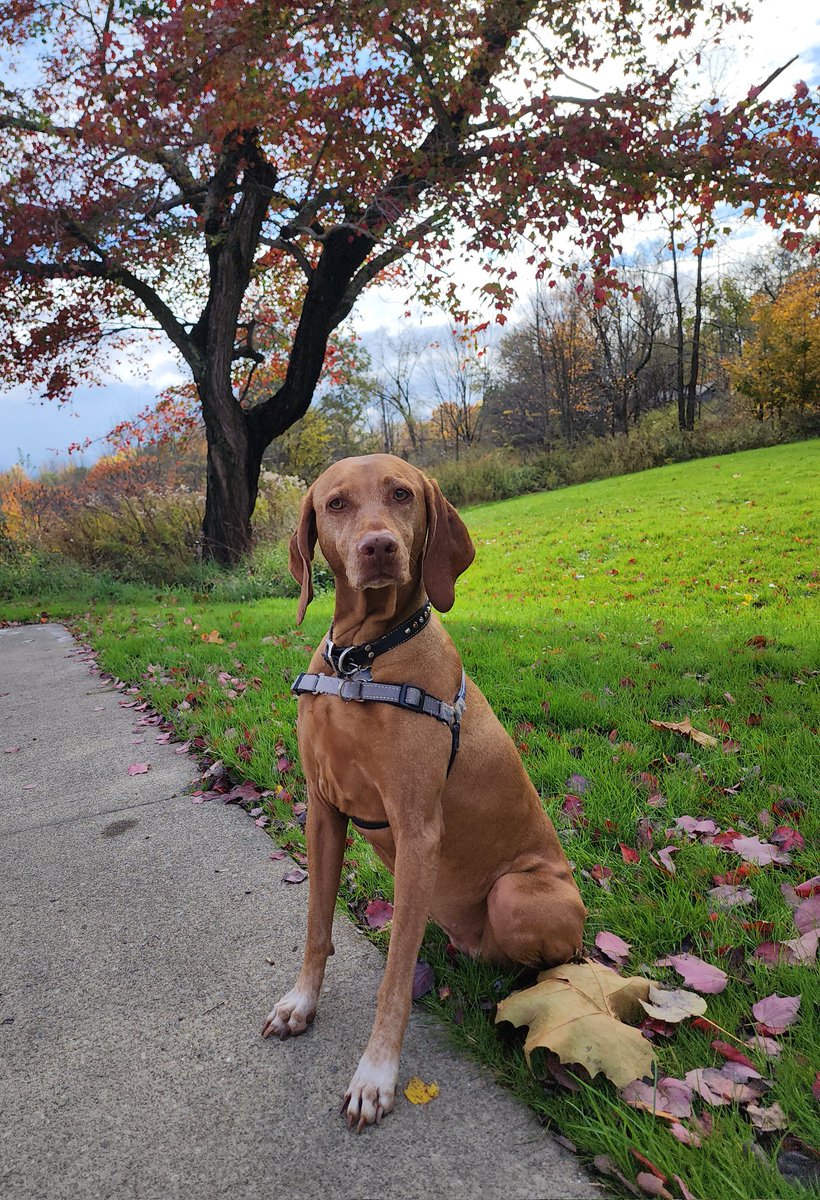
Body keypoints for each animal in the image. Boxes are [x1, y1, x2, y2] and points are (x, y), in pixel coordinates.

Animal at [262, 453, 583, 1128]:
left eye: (402, 494)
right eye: (335, 503)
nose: (379, 546)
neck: (364, 660)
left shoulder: (416, 830)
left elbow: (393, 980)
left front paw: (376, 1074)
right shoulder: (322, 811)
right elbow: (316, 926)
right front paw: (301, 1003)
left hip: (517, 895)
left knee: (553, 959)